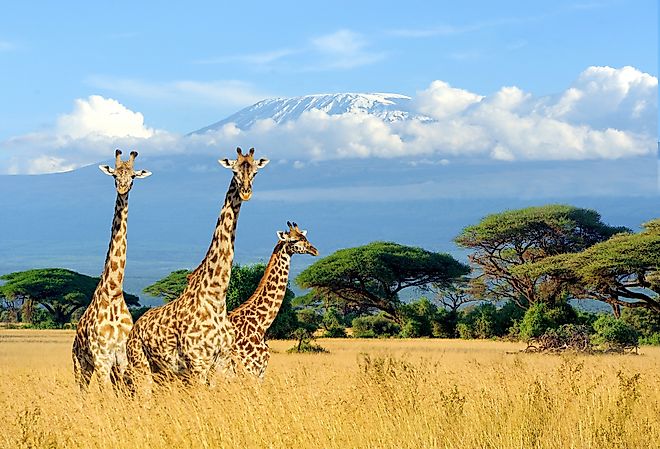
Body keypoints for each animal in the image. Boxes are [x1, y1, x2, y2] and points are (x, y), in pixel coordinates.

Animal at [72, 149, 152, 392]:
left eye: (133, 176)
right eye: (115, 175)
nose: (122, 188)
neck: (114, 291)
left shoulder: (122, 357)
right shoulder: (101, 358)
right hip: (80, 364)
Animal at [126, 147, 269, 390]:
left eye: (256, 172)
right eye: (234, 171)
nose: (246, 192)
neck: (217, 296)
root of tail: (134, 328)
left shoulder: (222, 362)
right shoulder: (198, 363)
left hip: (164, 373)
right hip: (141, 367)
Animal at [227, 221, 318, 379]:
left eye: (305, 237)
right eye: (293, 240)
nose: (314, 250)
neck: (260, 324)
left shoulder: (259, 370)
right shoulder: (251, 367)